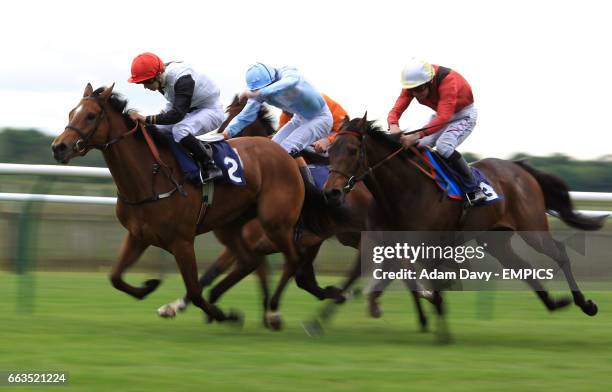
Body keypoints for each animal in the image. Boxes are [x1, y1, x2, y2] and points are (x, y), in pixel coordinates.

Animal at [49, 83, 350, 328]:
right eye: (71, 113)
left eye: (90, 115)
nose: (59, 147)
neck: (150, 176)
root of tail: (286, 156)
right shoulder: (137, 235)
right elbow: (115, 277)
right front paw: (150, 285)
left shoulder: (182, 241)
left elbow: (194, 288)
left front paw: (220, 314)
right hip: (232, 226)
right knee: (251, 261)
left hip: (275, 223)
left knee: (293, 259)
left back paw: (278, 311)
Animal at [328, 114, 604, 328]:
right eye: (330, 150)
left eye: (352, 150)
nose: (332, 192)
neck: (403, 190)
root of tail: (520, 167)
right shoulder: (387, 242)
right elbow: (389, 275)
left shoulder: (426, 244)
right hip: (495, 239)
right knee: (523, 267)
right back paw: (555, 303)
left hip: (532, 227)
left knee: (559, 253)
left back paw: (585, 304)